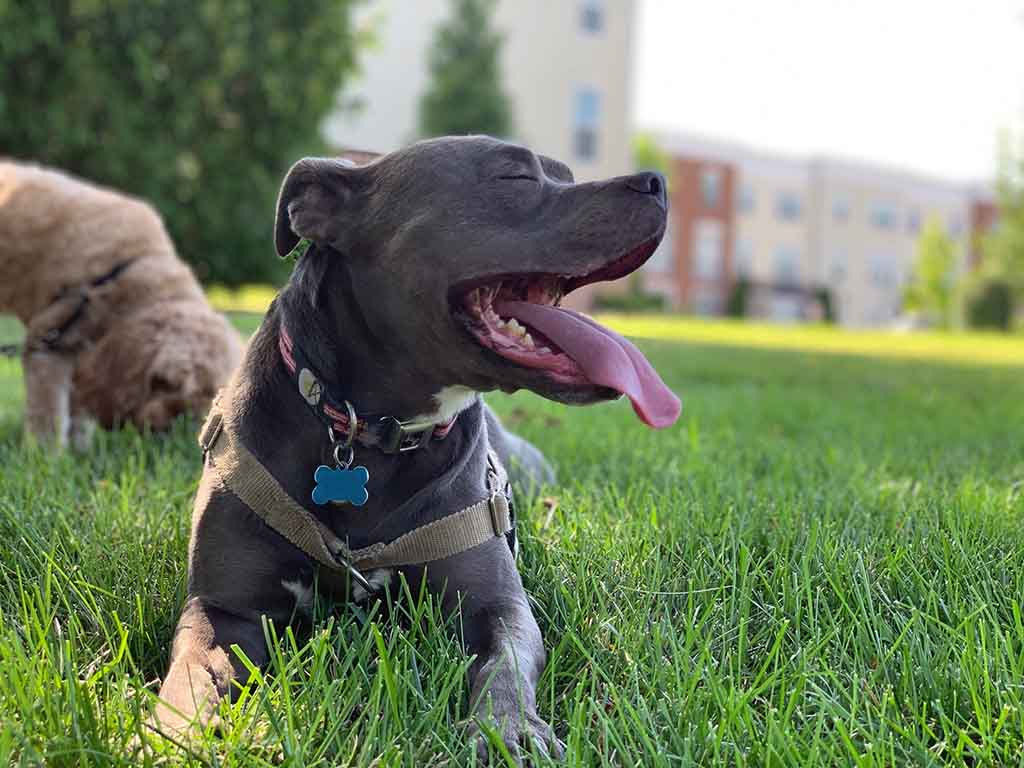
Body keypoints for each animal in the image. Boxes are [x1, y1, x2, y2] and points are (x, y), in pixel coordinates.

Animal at [0, 162, 243, 444]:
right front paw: (46, 452)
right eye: (164, 383)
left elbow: (77, 413)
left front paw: (79, 449)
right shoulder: (48, 346)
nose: (165, 436)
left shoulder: (74, 346)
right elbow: (49, 416)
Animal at [151, 135, 679, 761]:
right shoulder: (224, 609)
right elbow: (192, 670)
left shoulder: (497, 606)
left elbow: (503, 665)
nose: (657, 182)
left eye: (566, 176)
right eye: (515, 177)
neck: (370, 432)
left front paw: (509, 728)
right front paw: (175, 730)